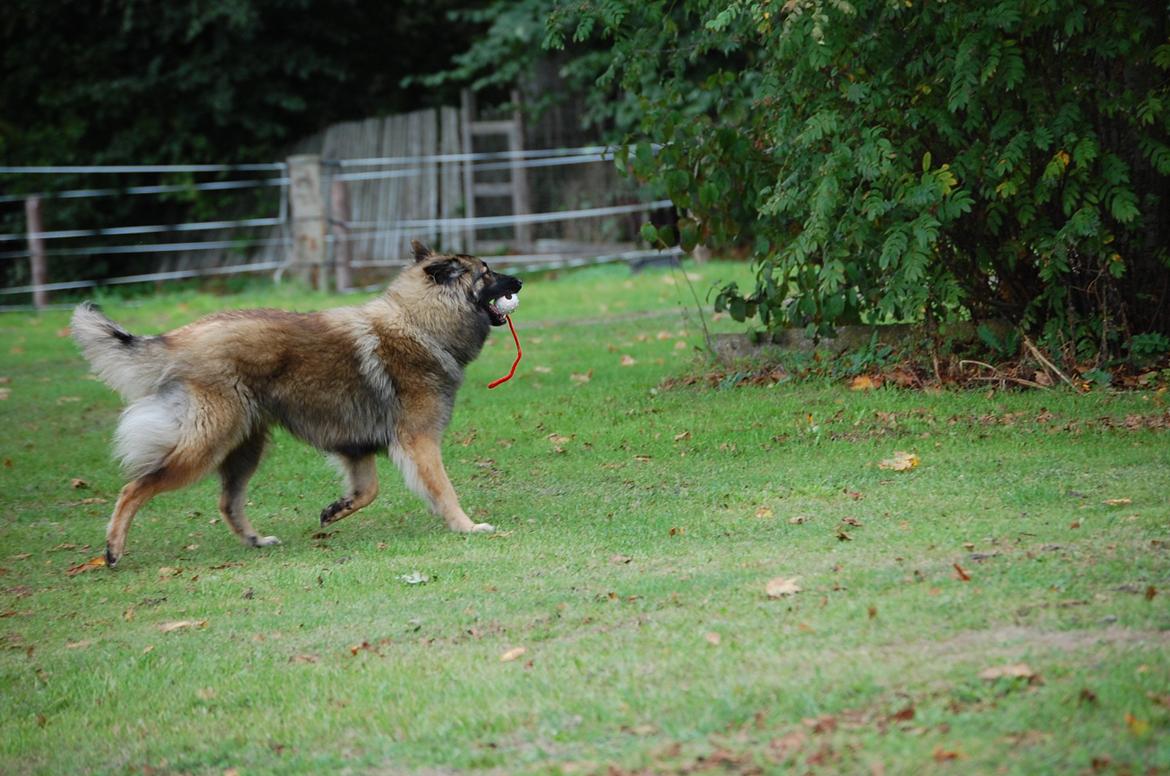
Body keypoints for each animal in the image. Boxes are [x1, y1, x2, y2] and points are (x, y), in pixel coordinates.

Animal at [71, 239, 521, 568]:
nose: (518, 283)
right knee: (135, 486)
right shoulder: (420, 441)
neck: (419, 323)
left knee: (227, 501)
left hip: (245, 448)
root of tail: (179, 338)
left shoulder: (356, 445)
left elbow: (368, 490)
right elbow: (443, 489)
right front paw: (466, 526)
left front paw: (336, 510)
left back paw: (255, 539)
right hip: (205, 446)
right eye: (486, 273)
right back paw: (113, 549)